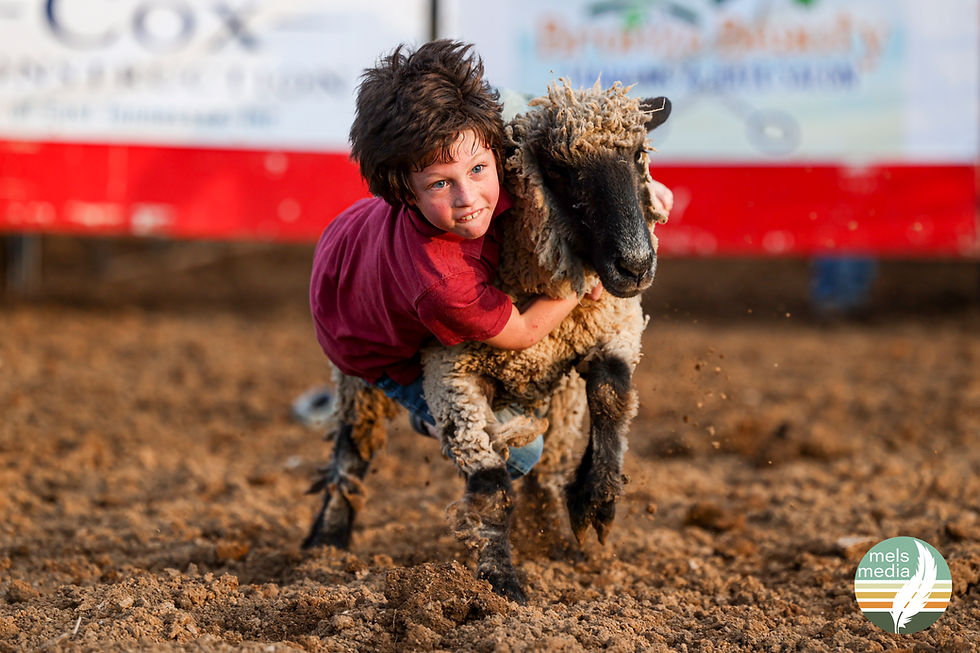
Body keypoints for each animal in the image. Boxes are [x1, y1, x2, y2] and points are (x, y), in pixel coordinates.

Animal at [303, 80, 671, 604]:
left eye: (639, 153)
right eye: (557, 169)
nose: (636, 265)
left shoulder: (611, 326)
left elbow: (611, 396)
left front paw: (594, 501)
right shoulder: (451, 373)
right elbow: (491, 489)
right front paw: (501, 585)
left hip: (559, 396)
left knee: (547, 463)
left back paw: (555, 534)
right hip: (358, 377)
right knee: (351, 451)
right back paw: (326, 544)